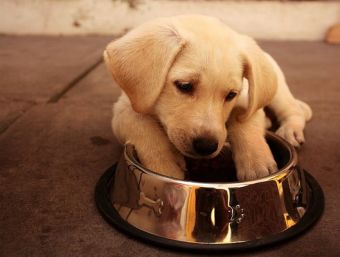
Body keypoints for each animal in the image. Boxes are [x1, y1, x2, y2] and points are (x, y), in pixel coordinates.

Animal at [103, 15, 310, 181]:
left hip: (277, 91)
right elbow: (143, 127)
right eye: (184, 86)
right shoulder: (126, 107)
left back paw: (291, 129)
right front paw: (165, 166)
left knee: (293, 110)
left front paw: (257, 162)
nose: (206, 146)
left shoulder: (247, 100)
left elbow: (243, 121)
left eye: (231, 95)